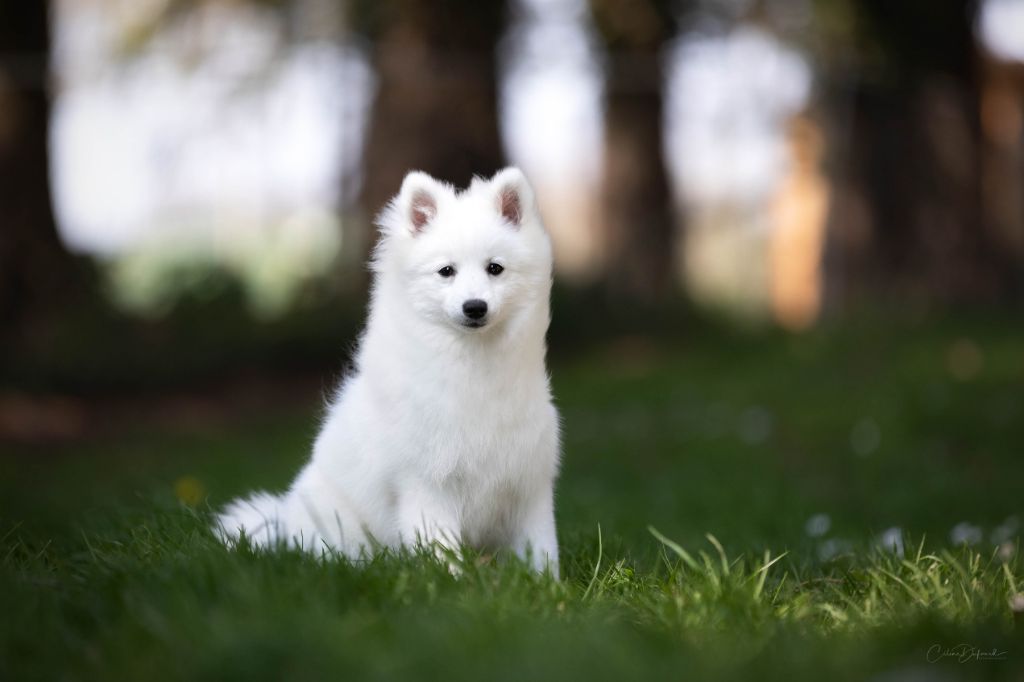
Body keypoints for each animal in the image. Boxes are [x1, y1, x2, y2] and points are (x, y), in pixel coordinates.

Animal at [217, 166, 565, 569]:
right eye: (446, 271)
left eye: (495, 268)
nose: (475, 307)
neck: (473, 366)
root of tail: (284, 520)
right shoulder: (426, 485)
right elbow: (441, 550)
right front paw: (453, 580)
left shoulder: (529, 486)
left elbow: (541, 551)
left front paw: (548, 583)